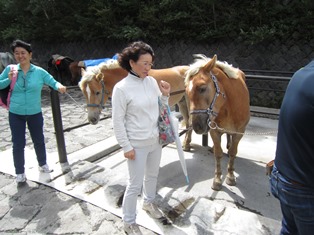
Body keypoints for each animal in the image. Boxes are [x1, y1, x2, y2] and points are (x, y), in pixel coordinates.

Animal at [185, 54, 249, 190]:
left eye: (202, 88)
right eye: (186, 91)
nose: (197, 126)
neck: (228, 105)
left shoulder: (240, 132)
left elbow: (233, 153)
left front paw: (230, 176)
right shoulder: (214, 130)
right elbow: (218, 154)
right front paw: (218, 179)